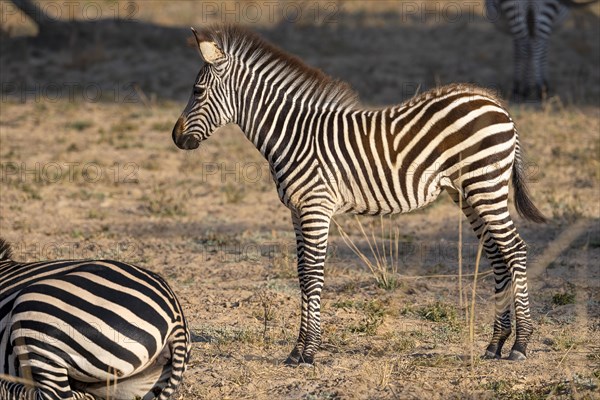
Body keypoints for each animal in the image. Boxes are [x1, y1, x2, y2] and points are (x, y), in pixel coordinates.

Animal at [171, 25, 548, 366]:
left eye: (197, 90)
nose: (175, 138)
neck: (293, 135)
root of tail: (494, 103)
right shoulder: (297, 210)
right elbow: (302, 275)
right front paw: (297, 350)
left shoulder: (316, 207)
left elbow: (313, 274)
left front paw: (307, 353)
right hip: (468, 193)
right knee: (498, 255)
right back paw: (495, 343)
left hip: (486, 185)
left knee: (515, 250)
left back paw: (520, 345)